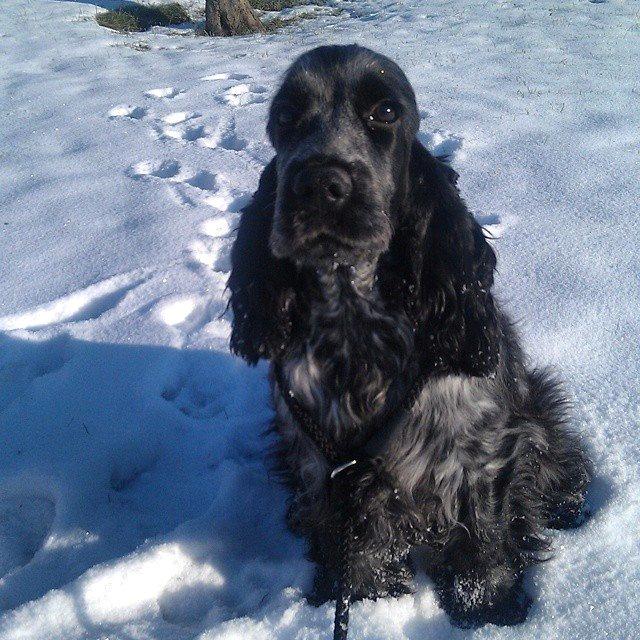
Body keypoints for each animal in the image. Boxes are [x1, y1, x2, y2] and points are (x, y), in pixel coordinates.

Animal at [228, 46, 592, 632]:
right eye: (284, 118)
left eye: (386, 112)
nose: (318, 184)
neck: (352, 321)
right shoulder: (328, 473)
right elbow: (361, 553)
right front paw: (367, 600)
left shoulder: (479, 456)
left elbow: (483, 545)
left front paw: (487, 612)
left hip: (539, 407)